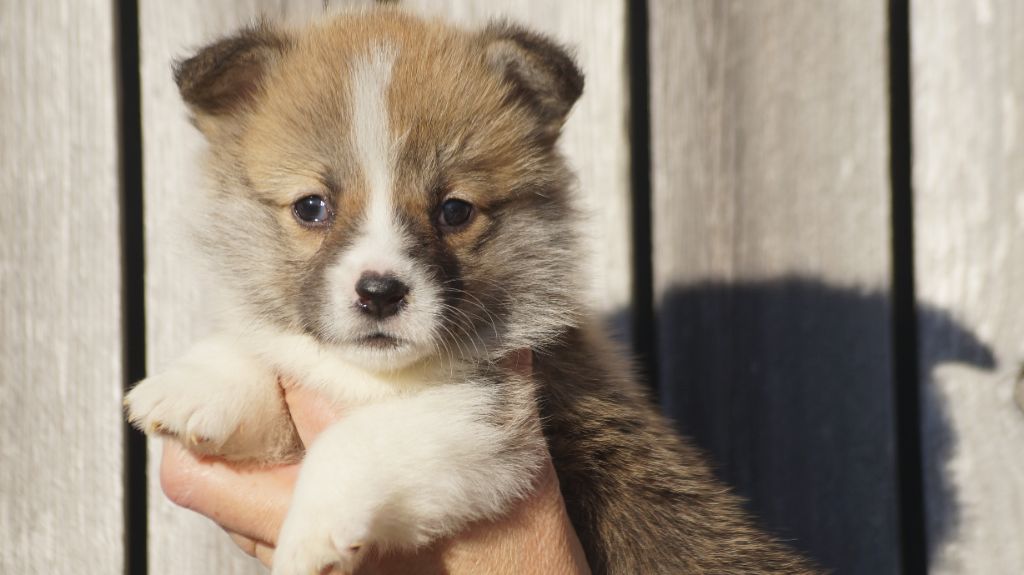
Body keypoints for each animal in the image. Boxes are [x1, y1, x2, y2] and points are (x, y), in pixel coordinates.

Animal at [125, 7, 815, 572]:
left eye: (454, 211)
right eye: (311, 207)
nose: (380, 292)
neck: (378, 378)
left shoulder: (492, 421)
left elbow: (358, 441)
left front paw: (313, 535)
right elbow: (273, 359)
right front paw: (196, 386)